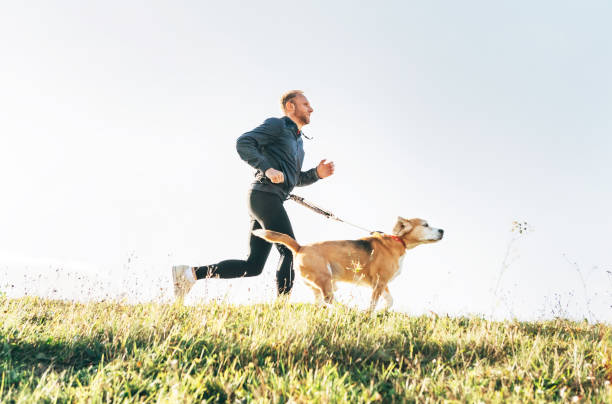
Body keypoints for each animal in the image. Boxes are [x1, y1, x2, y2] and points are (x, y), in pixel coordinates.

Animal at [253, 216, 444, 310]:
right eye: (426, 225)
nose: (442, 230)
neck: (398, 240)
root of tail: (300, 247)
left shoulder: (382, 284)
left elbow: (390, 301)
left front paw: (383, 312)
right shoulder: (379, 282)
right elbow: (373, 303)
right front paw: (370, 314)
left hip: (317, 284)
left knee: (321, 301)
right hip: (325, 279)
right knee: (329, 299)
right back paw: (346, 309)